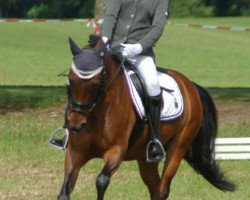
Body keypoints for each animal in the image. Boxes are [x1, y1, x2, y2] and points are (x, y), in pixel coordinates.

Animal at [57, 36, 235, 200]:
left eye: (96, 82)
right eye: (70, 79)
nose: (75, 123)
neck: (98, 112)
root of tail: (190, 85)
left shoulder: (116, 151)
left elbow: (101, 181)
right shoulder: (75, 152)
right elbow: (64, 191)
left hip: (178, 147)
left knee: (162, 189)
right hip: (145, 158)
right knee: (155, 188)